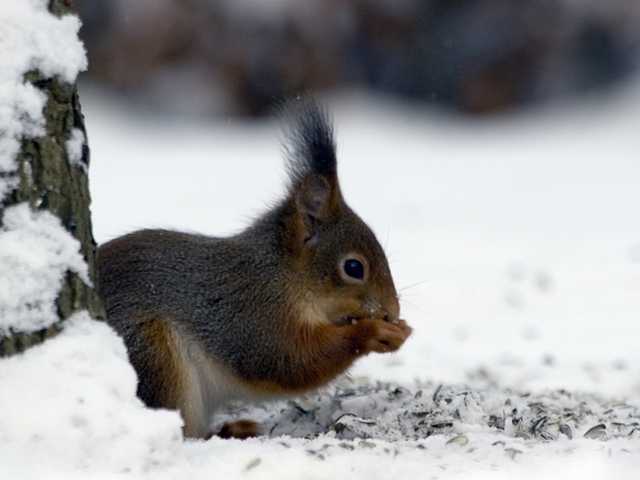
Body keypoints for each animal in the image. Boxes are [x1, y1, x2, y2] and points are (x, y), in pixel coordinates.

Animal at [97, 100, 412, 438]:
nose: (391, 311)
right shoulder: (255, 316)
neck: (282, 275)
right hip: (152, 353)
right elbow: (290, 362)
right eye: (353, 267)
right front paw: (373, 332)